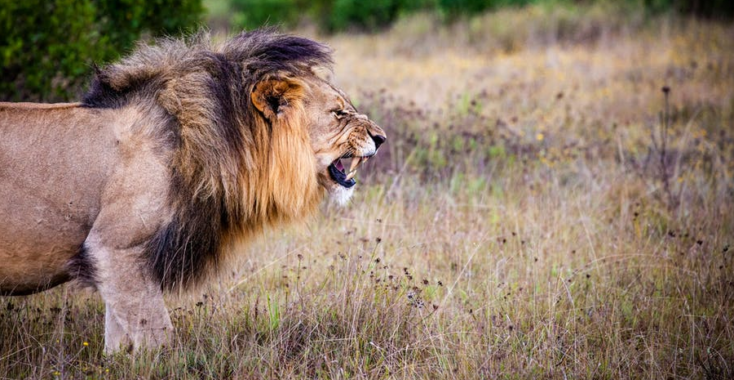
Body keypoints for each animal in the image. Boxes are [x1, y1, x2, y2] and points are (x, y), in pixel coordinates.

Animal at [0, 29, 388, 354]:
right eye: (339, 113)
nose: (382, 138)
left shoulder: (117, 263)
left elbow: (119, 340)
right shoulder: (113, 247)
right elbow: (157, 336)